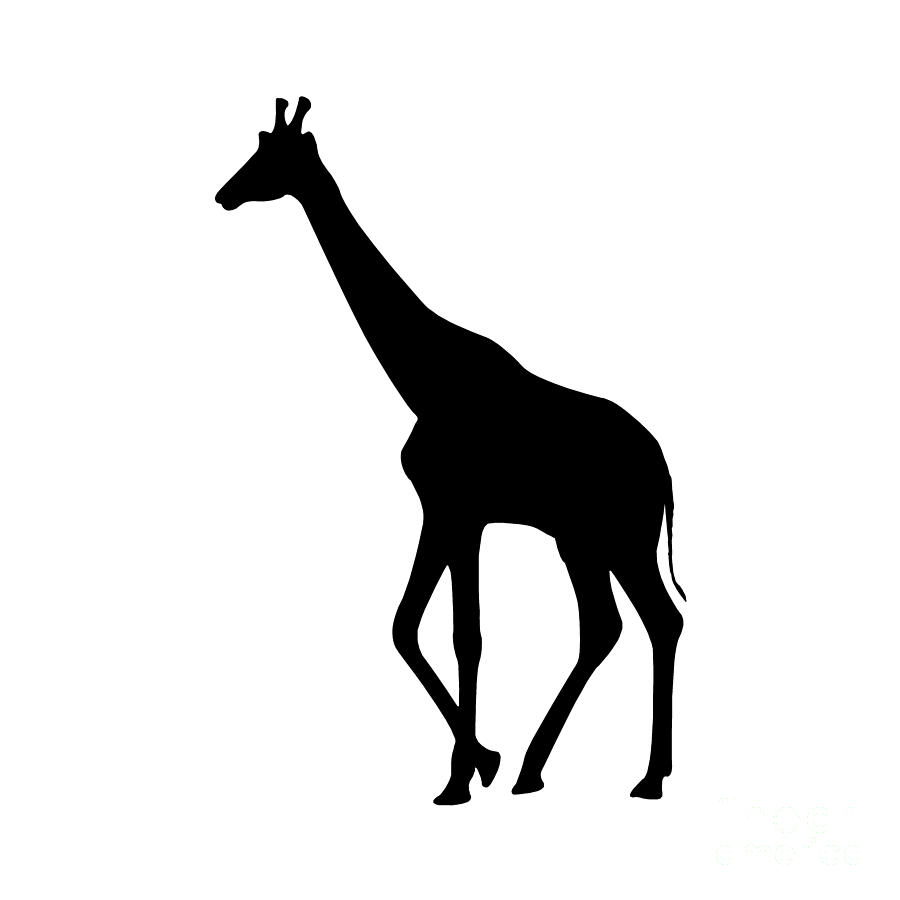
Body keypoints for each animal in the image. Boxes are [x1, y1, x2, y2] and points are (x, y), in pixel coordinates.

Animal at [215, 98, 688, 805]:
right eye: (257, 146)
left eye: (275, 156)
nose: (224, 193)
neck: (426, 378)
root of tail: (663, 469)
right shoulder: (448, 513)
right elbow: (410, 625)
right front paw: (478, 763)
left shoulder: (457, 510)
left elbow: (463, 634)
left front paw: (467, 773)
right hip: (581, 539)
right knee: (612, 626)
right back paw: (542, 769)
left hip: (620, 536)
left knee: (655, 621)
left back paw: (643, 777)